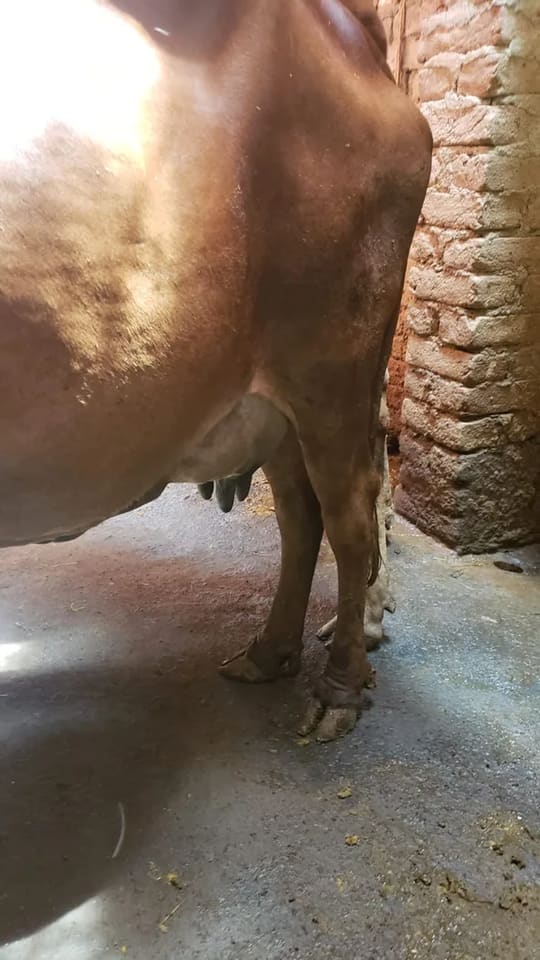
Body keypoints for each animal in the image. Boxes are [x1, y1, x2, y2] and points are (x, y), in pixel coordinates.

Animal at [0, 0, 432, 740]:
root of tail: (352, 30)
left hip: (334, 371)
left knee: (350, 516)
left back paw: (341, 686)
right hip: (278, 402)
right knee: (300, 516)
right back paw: (271, 650)